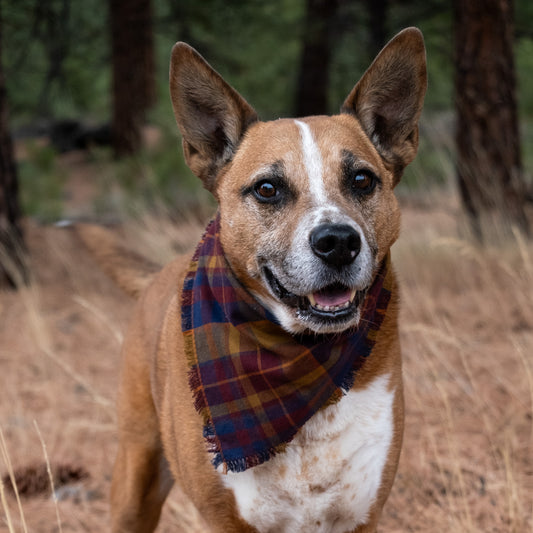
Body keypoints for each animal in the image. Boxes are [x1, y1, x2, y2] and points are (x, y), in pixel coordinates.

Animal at [87, 26, 424, 532]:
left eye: (362, 180)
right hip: (135, 475)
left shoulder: (361, 512)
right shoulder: (226, 519)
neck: (295, 357)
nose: (338, 242)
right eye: (268, 189)